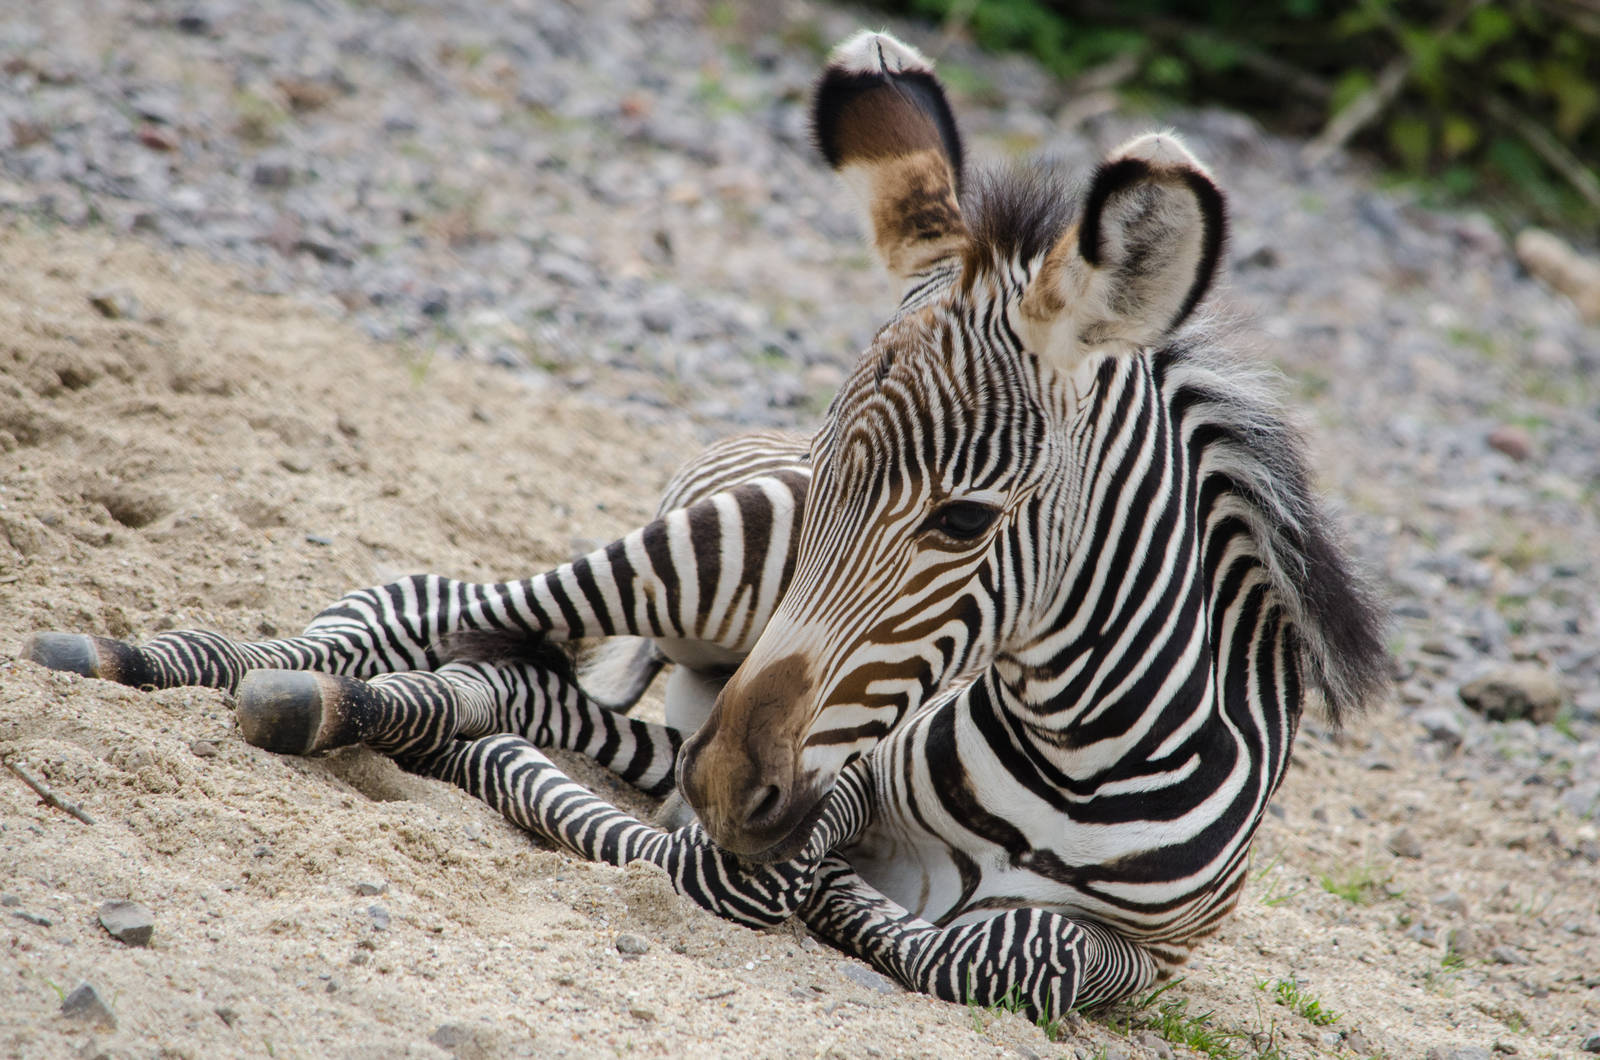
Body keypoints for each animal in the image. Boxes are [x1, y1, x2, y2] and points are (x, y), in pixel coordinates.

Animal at [22, 30, 1388, 1022]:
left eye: (961, 519)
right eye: (836, 474)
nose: (733, 782)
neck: (1079, 756)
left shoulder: (1150, 960)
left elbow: (994, 955)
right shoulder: (814, 791)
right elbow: (751, 876)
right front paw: (810, 885)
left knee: (511, 676)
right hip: (699, 563)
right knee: (431, 603)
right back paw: (194, 666)